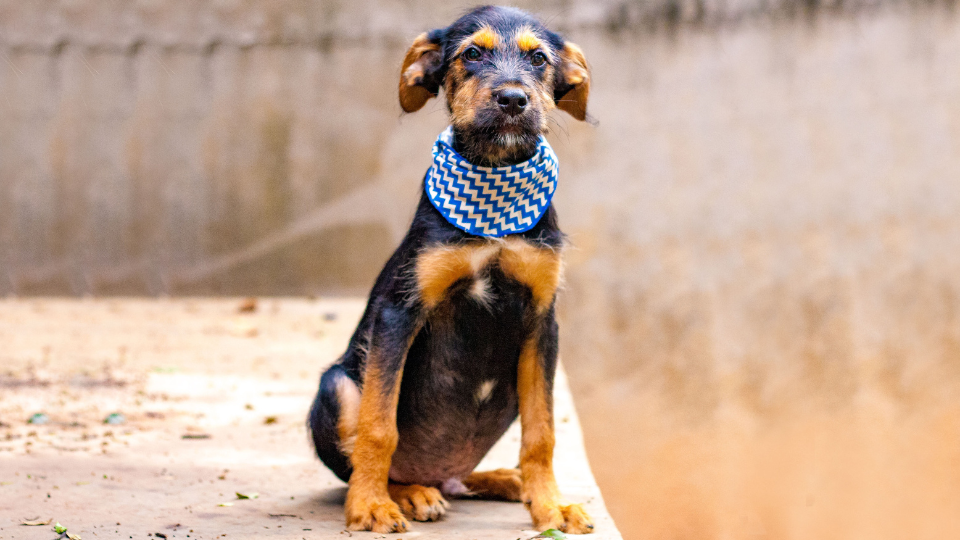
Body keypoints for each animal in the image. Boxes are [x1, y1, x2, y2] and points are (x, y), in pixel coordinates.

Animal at [308, 4, 592, 532]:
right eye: (472, 54)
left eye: (539, 59)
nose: (513, 99)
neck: (496, 193)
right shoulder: (399, 310)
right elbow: (379, 426)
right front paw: (369, 506)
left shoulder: (542, 320)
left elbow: (541, 432)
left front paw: (551, 506)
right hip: (336, 385)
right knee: (367, 454)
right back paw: (406, 493)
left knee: (463, 476)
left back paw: (505, 480)